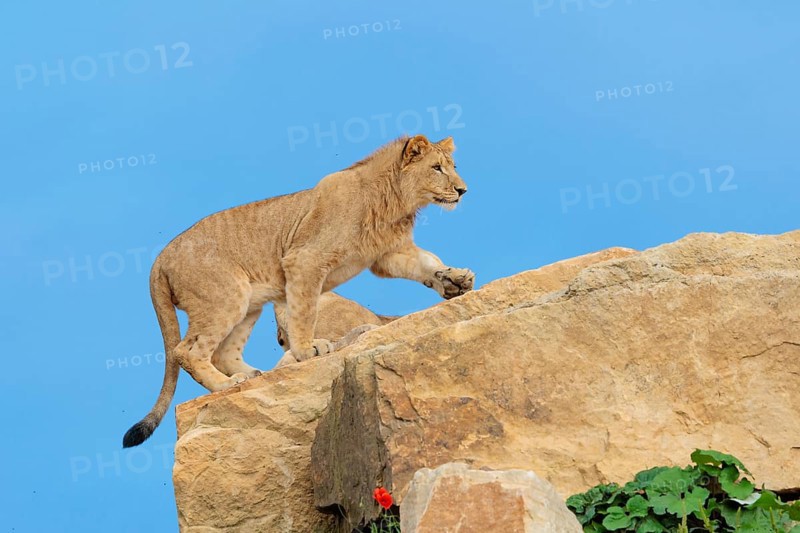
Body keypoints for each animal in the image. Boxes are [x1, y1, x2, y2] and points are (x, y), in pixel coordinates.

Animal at [122, 134, 474, 447]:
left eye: (453, 166)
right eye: (437, 168)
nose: (462, 190)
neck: (395, 202)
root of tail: (159, 258)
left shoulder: (388, 254)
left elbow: (428, 264)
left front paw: (455, 280)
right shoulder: (304, 261)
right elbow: (305, 311)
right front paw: (307, 350)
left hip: (249, 303)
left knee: (223, 352)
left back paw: (254, 375)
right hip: (227, 298)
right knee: (187, 351)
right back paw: (228, 382)